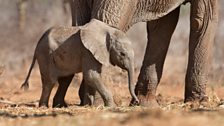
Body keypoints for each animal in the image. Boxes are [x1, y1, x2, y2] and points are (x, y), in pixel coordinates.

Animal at [69, 0, 217, 107]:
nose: (136, 100)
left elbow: (163, 24)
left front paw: (144, 102)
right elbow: (203, 19)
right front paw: (200, 102)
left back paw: (86, 101)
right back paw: (99, 103)